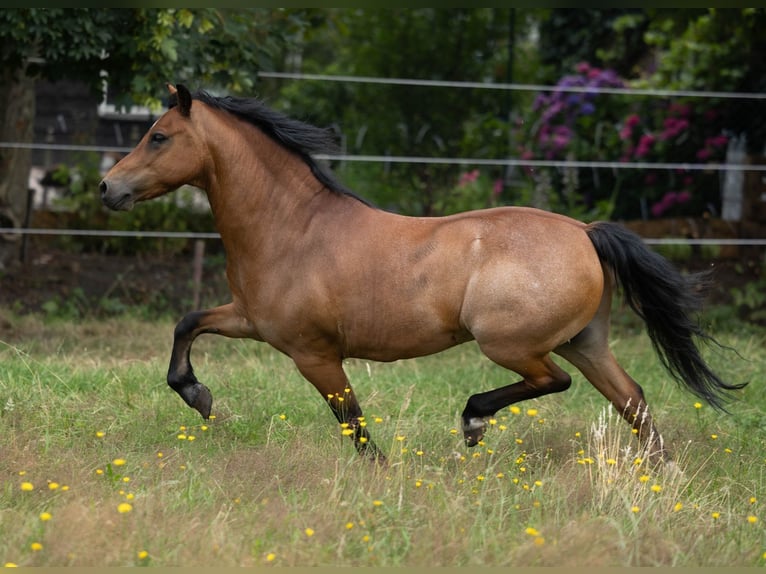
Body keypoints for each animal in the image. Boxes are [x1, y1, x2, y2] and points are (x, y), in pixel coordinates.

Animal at [99, 83, 744, 465]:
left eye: (159, 136)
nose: (107, 188)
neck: (294, 227)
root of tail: (584, 231)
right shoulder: (250, 321)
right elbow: (188, 322)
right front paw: (198, 396)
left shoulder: (313, 354)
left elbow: (353, 423)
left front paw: (381, 474)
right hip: (587, 342)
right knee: (633, 400)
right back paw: (661, 478)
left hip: (512, 344)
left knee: (553, 382)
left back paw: (474, 420)